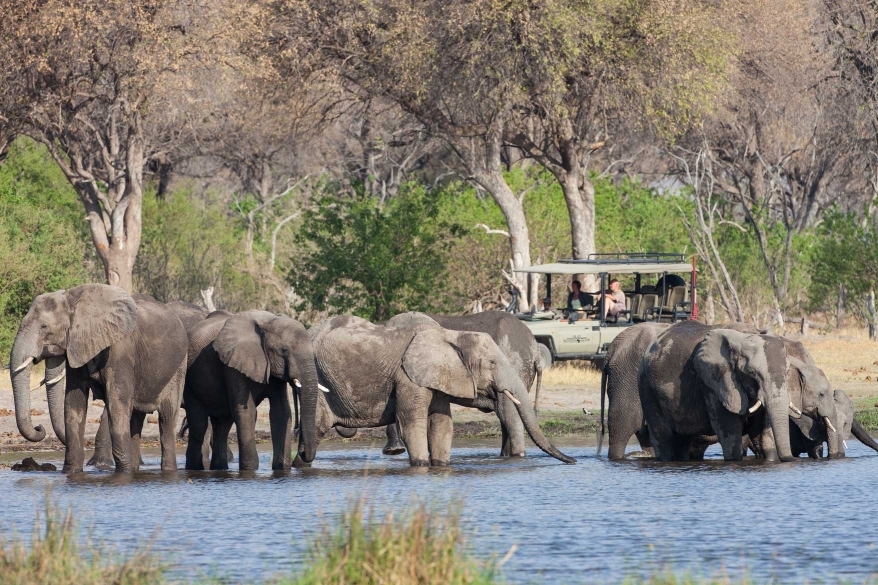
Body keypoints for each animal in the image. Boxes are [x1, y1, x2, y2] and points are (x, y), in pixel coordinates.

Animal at [9, 286, 189, 472]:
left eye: (44, 327)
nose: (39, 427)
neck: (75, 301)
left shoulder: (120, 350)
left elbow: (116, 405)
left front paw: (123, 474)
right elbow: (73, 405)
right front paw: (71, 472)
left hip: (179, 367)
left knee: (167, 419)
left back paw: (166, 470)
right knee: (136, 417)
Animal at [182, 310, 320, 470]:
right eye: (284, 350)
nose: (303, 454)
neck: (269, 322)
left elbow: (281, 411)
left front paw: (282, 468)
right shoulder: (233, 364)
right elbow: (246, 412)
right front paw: (250, 469)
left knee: (222, 425)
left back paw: (219, 468)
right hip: (189, 381)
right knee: (199, 424)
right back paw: (194, 468)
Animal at [640, 320, 796, 460]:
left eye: (788, 371)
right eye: (751, 372)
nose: (790, 458)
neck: (742, 336)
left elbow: (761, 433)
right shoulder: (713, 382)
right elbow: (730, 432)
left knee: (683, 441)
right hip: (646, 385)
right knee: (663, 438)